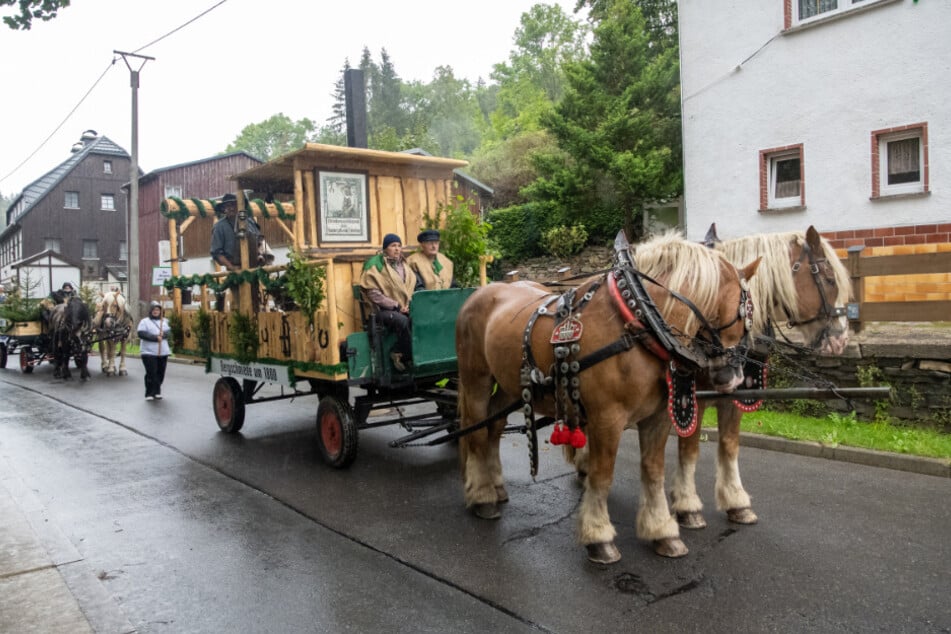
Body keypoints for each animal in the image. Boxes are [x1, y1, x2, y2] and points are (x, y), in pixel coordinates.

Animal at [458, 232, 764, 564]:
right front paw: (599, 537)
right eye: (748, 312)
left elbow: (653, 470)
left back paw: (496, 486)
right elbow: (602, 475)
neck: (639, 320)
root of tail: (480, 292)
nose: (734, 379)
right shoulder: (607, 418)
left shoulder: (657, 416)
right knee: (476, 432)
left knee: (494, 426)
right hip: (475, 379)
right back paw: (482, 496)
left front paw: (662, 531)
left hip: (509, 385)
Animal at [668, 225, 856, 524]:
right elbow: (689, 448)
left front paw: (736, 501)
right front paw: (687, 505)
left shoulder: (734, 395)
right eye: (829, 280)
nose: (841, 340)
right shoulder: (688, 397)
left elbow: (730, 444)